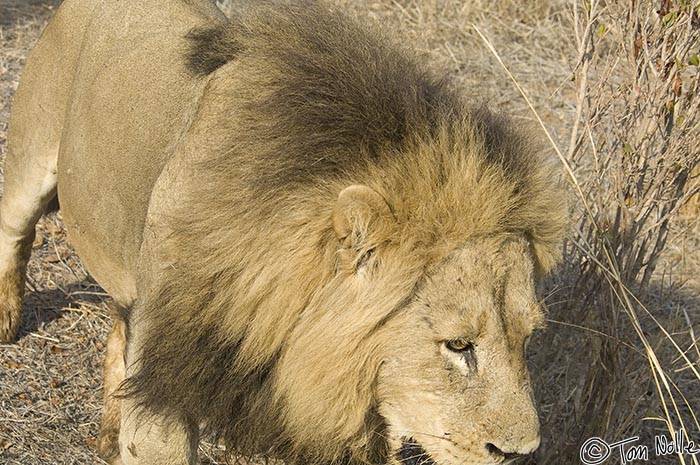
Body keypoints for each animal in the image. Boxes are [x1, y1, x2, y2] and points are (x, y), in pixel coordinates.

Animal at [0, 0, 568, 464]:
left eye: (527, 338)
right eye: (457, 346)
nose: (519, 453)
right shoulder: (165, 382)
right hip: (32, 151)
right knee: (14, 228)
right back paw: (7, 319)